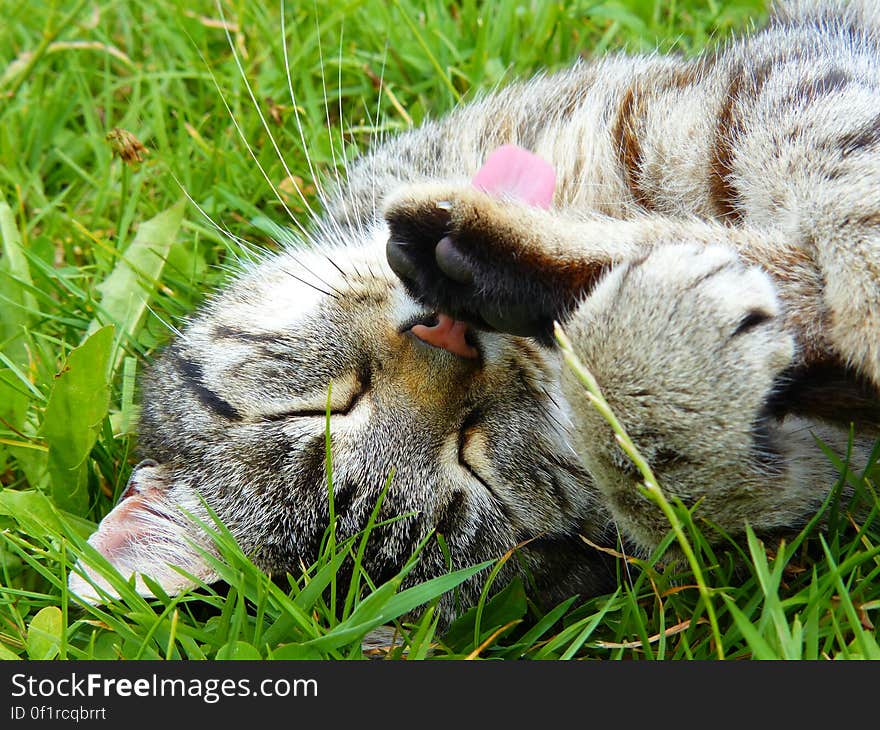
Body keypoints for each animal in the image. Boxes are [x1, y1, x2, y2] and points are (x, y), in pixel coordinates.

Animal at [67, 0, 880, 620]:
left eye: (321, 407)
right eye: (473, 464)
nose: (451, 341)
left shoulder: (744, 94)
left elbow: (841, 173)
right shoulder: (820, 474)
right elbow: (692, 504)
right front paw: (653, 367)